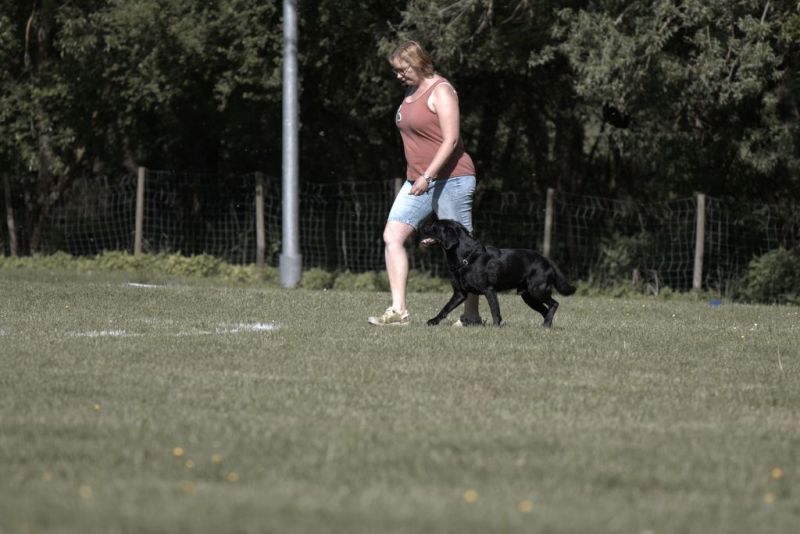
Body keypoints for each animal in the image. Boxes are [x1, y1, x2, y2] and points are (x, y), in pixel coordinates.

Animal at [420, 219, 576, 328]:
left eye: (434, 226)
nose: (421, 225)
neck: (467, 258)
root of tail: (547, 260)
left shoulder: (489, 290)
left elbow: (495, 310)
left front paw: (495, 327)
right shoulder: (460, 293)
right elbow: (445, 308)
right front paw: (433, 321)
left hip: (537, 290)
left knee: (554, 304)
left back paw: (547, 324)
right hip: (528, 296)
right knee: (545, 310)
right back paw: (545, 326)